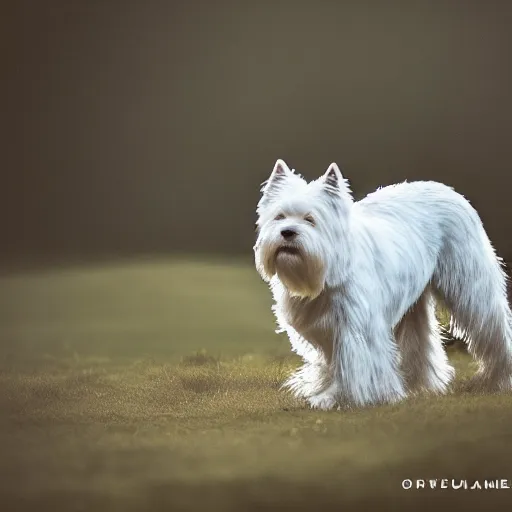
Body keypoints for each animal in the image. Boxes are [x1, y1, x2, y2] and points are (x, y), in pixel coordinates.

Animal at [254, 158, 512, 410]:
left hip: (472, 289)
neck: (329, 270)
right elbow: (331, 363)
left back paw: (497, 380)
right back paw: (418, 385)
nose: (287, 232)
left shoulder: (355, 329)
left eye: (310, 219)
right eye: (279, 216)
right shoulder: (326, 329)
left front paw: (334, 398)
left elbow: (351, 365)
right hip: (415, 305)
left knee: (494, 328)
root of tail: (449, 190)